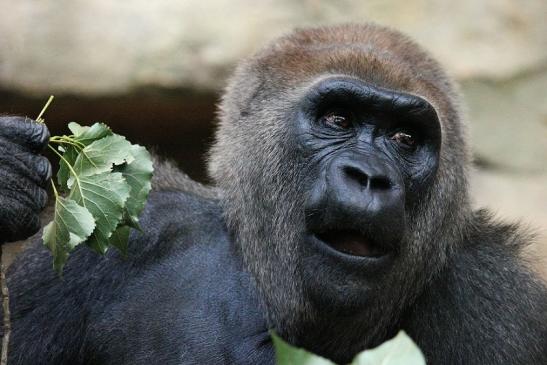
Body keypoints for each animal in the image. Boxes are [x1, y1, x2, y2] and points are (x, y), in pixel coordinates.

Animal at [1, 24, 547, 362]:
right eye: (337, 119)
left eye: (405, 139)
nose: (370, 177)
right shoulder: (99, 254)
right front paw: (6, 178)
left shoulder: (503, 303)